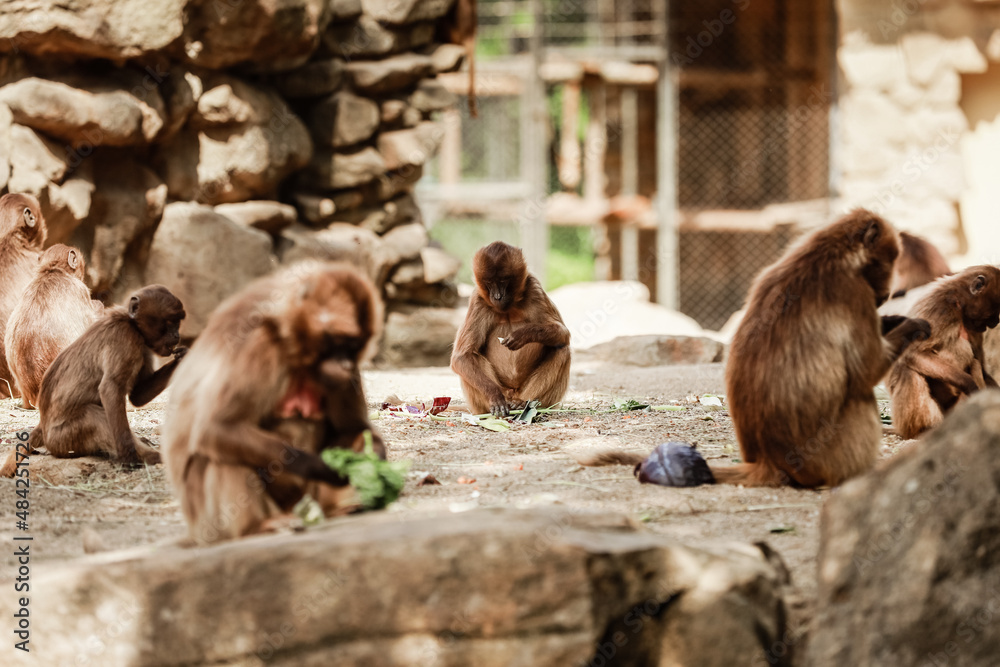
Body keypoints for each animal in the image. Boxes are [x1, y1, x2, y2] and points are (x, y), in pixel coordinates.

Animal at [27, 285, 185, 467]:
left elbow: (137, 396)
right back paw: (150, 456)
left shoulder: (143, 347)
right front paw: (129, 455)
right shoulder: (125, 339)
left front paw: (183, 357)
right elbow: (111, 389)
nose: (177, 335)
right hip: (62, 439)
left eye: (178, 322)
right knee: (92, 415)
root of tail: (43, 426)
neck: (131, 324)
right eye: (170, 322)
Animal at [162, 262, 387, 544]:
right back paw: (256, 528)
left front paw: (374, 454)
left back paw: (342, 509)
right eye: (340, 342)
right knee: (220, 453)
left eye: (354, 346)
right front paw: (321, 467)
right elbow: (216, 428)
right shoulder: (260, 345)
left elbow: (353, 428)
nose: (346, 365)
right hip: (208, 521)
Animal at [451, 241, 570, 417]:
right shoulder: (478, 299)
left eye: (503, 280)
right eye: (489, 282)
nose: (497, 296)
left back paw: (524, 404)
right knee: (472, 356)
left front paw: (524, 335)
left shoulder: (533, 287)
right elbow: (461, 357)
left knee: (562, 349)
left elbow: (563, 334)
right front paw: (494, 395)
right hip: (488, 401)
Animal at [887, 266, 1000, 439]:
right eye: (994, 312)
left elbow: (980, 365)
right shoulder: (939, 310)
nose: (996, 322)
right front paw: (970, 385)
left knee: (974, 363)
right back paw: (925, 430)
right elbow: (913, 353)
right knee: (908, 370)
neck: (958, 305)